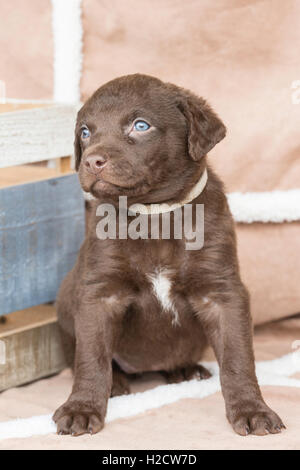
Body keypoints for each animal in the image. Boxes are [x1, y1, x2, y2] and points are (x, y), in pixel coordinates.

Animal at [52, 73, 284, 436]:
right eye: (85, 132)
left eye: (140, 125)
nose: (91, 161)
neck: (154, 214)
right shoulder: (99, 294)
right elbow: (91, 358)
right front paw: (82, 407)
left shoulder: (223, 293)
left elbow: (238, 358)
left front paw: (252, 409)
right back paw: (117, 383)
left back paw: (185, 370)